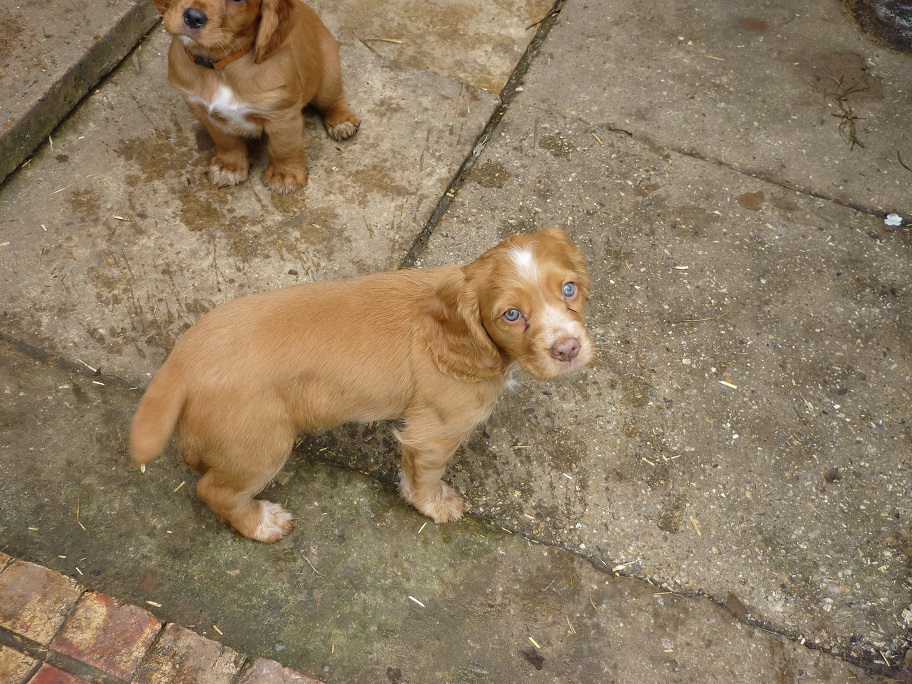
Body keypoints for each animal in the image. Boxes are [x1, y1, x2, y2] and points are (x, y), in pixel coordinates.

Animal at [132, 227, 596, 544]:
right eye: (511, 315)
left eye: (569, 289)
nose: (569, 349)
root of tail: (182, 361)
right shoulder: (434, 433)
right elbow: (425, 477)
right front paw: (437, 506)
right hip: (260, 445)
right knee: (215, 491)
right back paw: (262, 523)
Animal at [153, 0, 360, 192]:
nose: (193, 17)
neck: (220, 66)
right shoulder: (205, 112)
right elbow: (225, 140)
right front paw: (229, 166)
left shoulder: (282, 114)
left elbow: (284, 146)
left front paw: (285, 175)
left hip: (327, 79)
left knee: (333, 98)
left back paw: (341, 121)